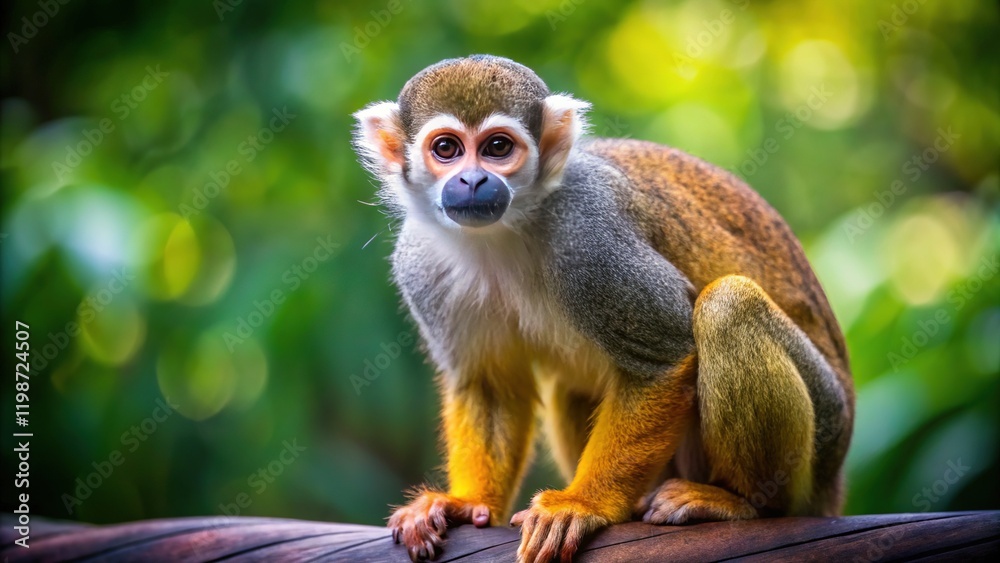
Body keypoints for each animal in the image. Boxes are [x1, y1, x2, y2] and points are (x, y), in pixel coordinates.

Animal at [352, 55, 854, 563]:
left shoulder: (589, 239)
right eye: (446, 149)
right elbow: (490, 382)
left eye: (497, 147)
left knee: (728, 307)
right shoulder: (419, 261)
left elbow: (663, 357)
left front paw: (581, 504)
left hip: (826, 436)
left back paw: (744, 503)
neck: (503, 233)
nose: (473, 180)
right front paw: (465, 502)